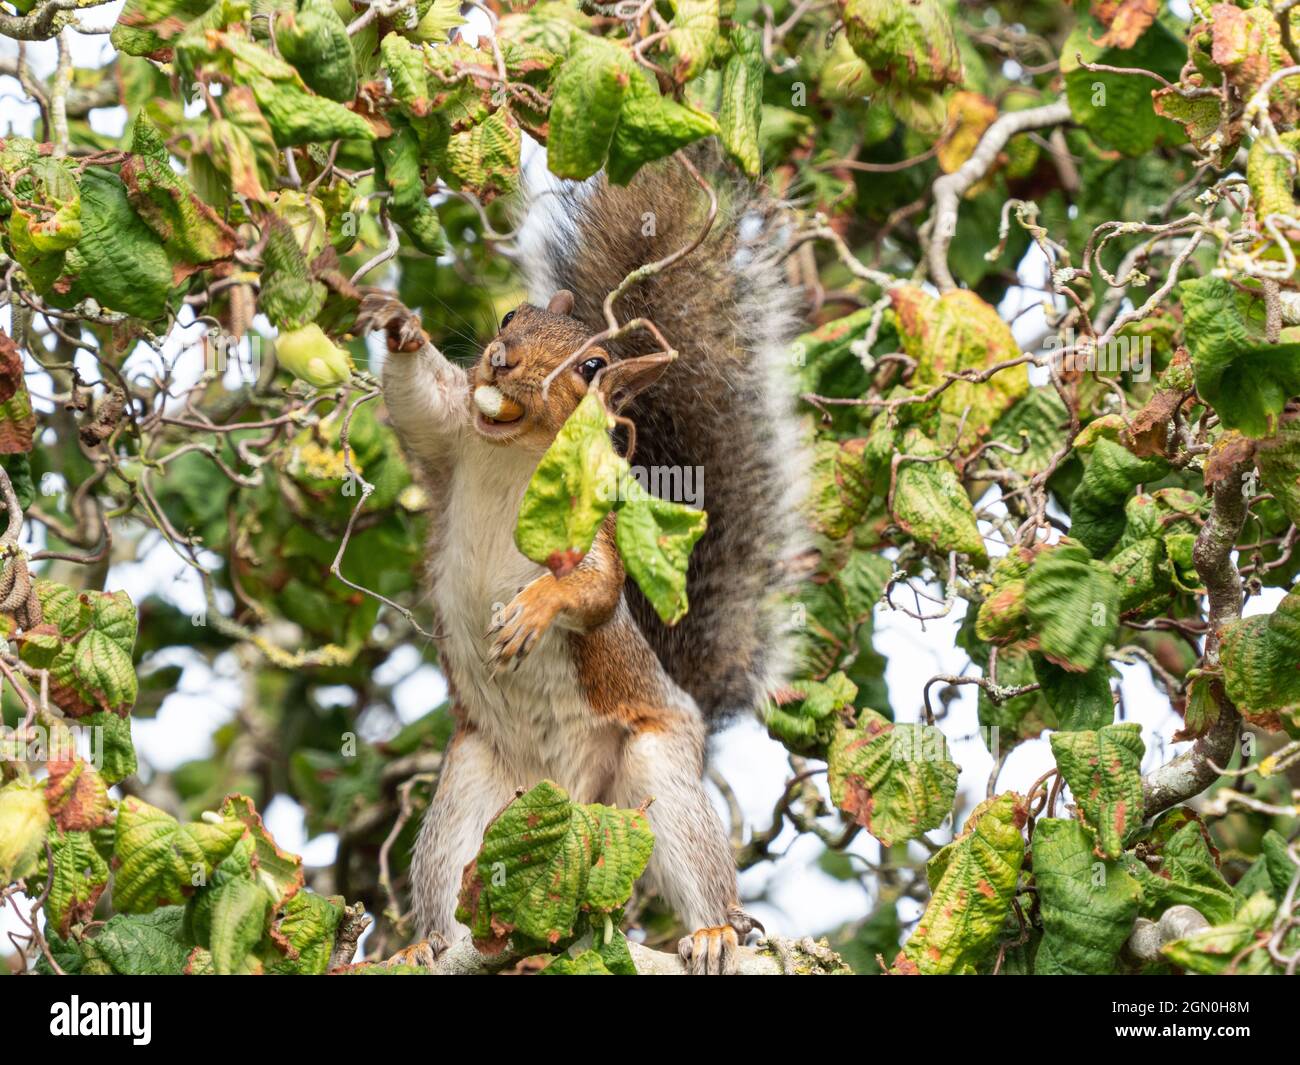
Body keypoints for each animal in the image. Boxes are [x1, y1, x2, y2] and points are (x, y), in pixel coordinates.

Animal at [367, 144, 807, 975]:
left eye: (595, 365)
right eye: (513, 316)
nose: (501, 361)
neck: (517, 451)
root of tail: (572, 801)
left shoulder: (594, 523)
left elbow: (598, 589)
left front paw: (534, 608)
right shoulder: (448, 440)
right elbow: (418, 400)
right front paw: (401, 328)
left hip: (655, 764)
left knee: (693, 846)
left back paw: (716, 929)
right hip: (472, 786)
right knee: (450, 868)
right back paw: (428, 942)